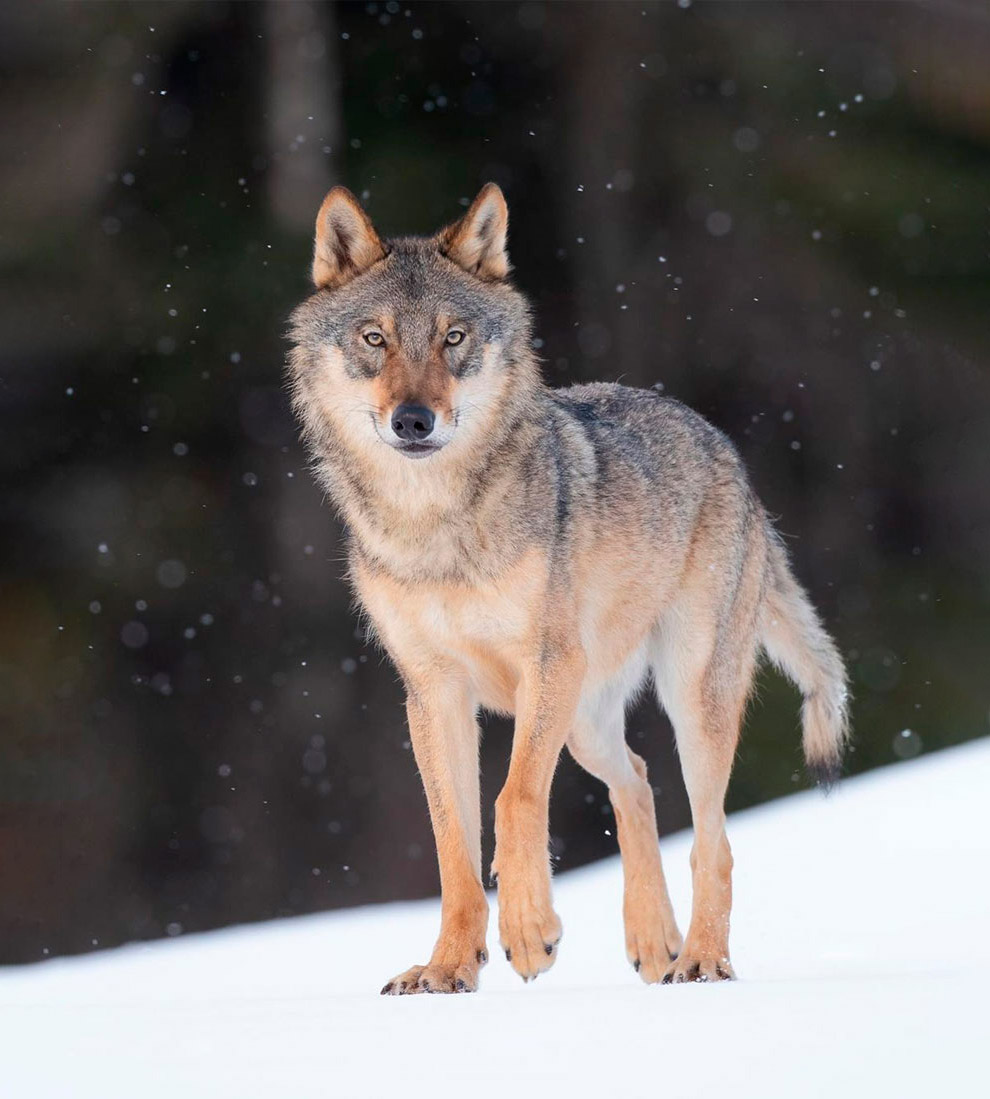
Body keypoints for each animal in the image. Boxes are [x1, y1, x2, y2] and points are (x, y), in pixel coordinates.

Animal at [281, 182, 843, 997]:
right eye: (375, 338)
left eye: (454, 338)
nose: (413, 420)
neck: (436, 528)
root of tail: (727, 451)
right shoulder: (432, 691)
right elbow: (452, 841)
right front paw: (447, 967)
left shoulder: (545, 665)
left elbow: (514, 799)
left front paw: (528, 932)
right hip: (586, 723)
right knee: (637, 780)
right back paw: (653, 945)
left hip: (683, 695)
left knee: (714, 839)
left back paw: (701, 959)